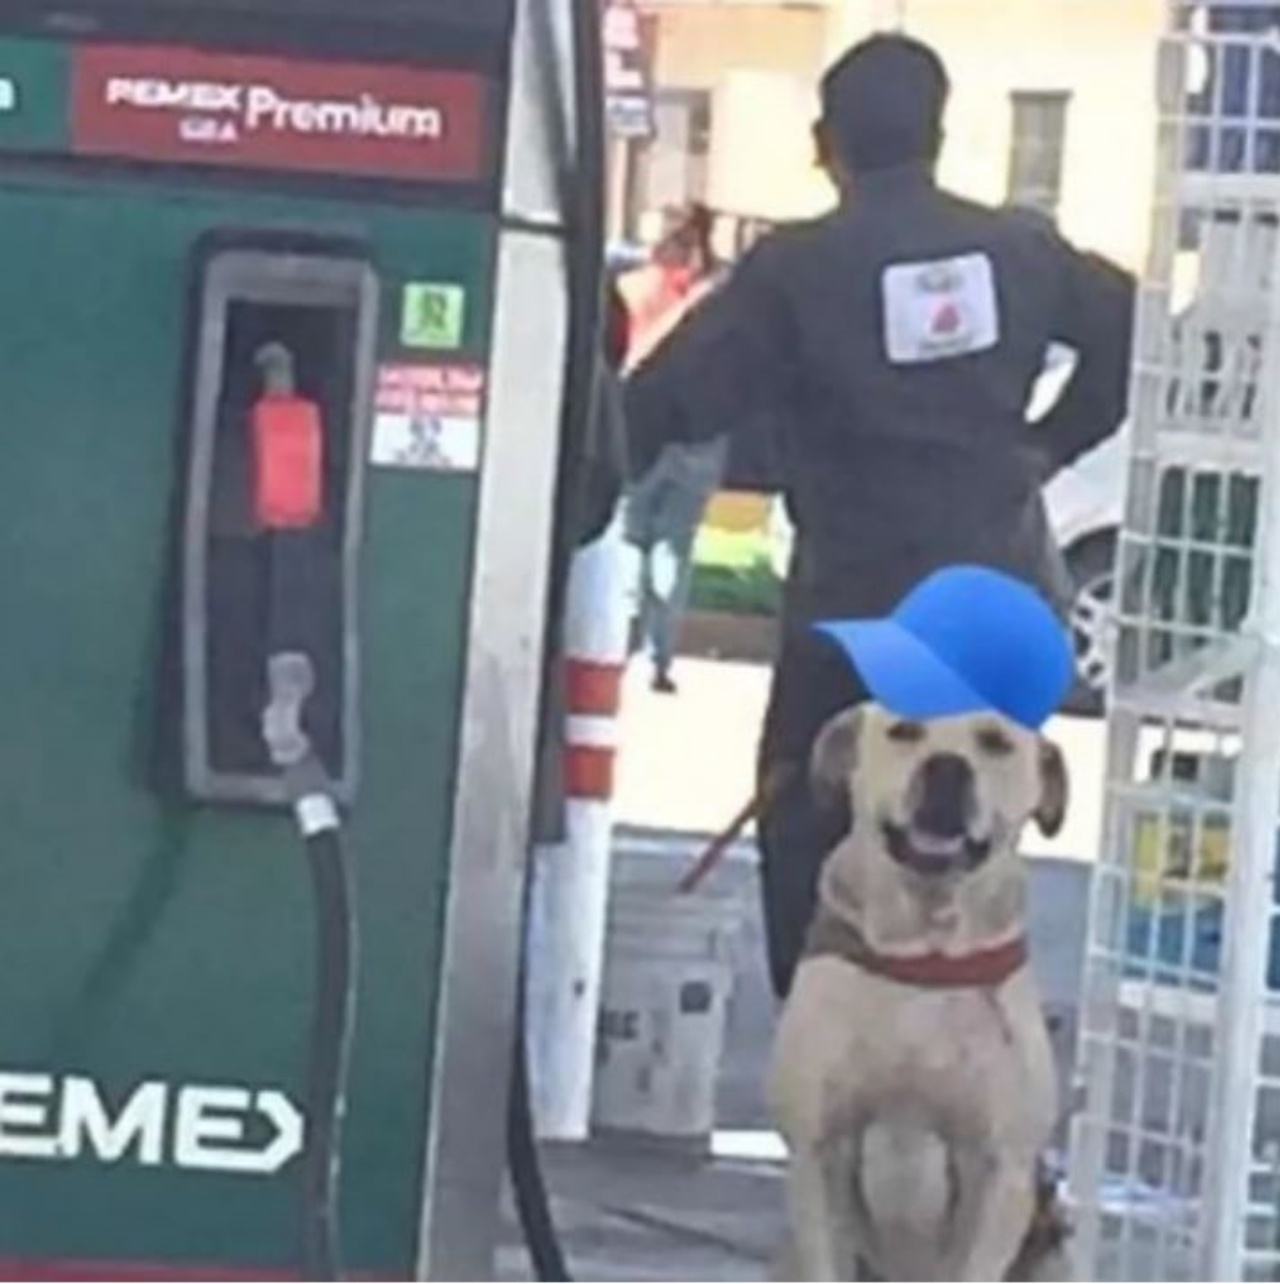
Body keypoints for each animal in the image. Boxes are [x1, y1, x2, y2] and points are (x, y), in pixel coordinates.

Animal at [770, 708, 1068, 1278]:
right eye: (904, 729)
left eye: (995, 742)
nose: (947, 766)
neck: (925, 952)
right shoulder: (821, 1152)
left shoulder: (1000, 1171)